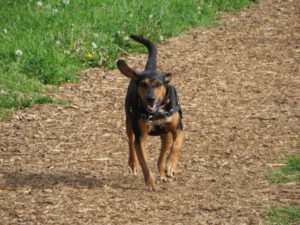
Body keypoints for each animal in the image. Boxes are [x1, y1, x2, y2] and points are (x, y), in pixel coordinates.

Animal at [116, 35, 183, 190]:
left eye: (158, 84)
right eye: (143, 84)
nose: (150, 98)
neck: (156, 112)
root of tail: (149, 68)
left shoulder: (178, 129)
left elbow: (176, 145)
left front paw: (171, 166)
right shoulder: (141, 137)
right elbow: (144, 163)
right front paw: (150, 183)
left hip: (166, 134)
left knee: (162, 155)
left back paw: (164, 172)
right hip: (129, 122)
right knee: (130, 141)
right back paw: (133, 163)